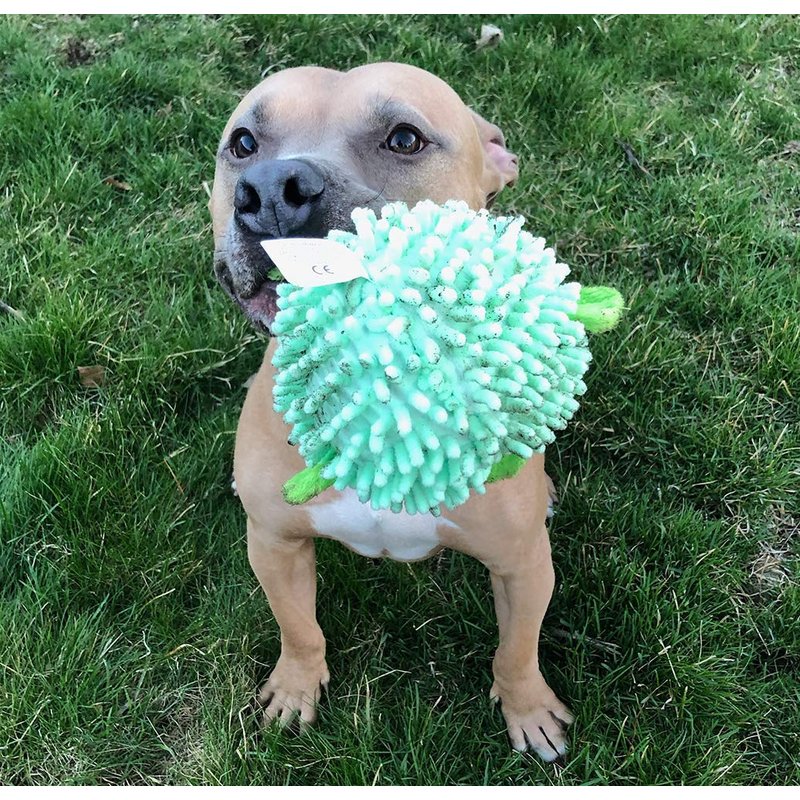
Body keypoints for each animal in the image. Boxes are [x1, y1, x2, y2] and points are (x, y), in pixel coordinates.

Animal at [210, 62, 573, 762]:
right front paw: (296, 688)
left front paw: (529, 710)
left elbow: (517, 650)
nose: (271, 190)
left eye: (404, 139)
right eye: (243, 143)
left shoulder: (522, 565)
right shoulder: (273, 543)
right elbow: (300, 629)